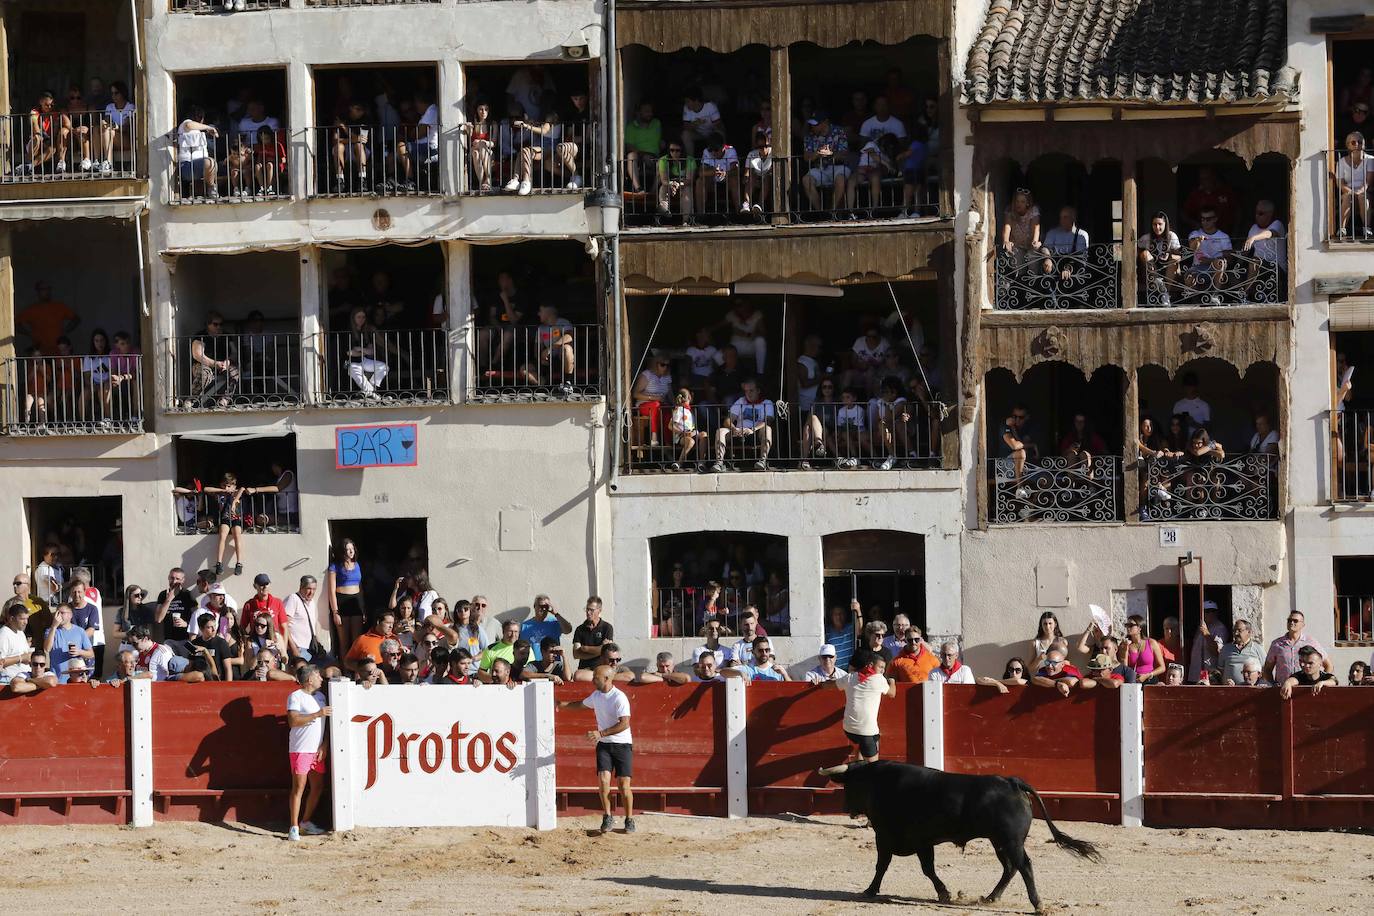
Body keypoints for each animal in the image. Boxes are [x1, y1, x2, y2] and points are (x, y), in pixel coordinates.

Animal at [813, 758, 1104, 911]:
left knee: (1025, 866)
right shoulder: (921, 842)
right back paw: (991, 897)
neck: (879, 782)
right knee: (1010, 868)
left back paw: (1037, 905)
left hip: (1010, 841)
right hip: (999, 842)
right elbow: (926, 869)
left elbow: (885, 866)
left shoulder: (887, 837)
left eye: (849, 785)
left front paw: (870, 890)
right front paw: (945, 894)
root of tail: (1012, 781)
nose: (847, 809)